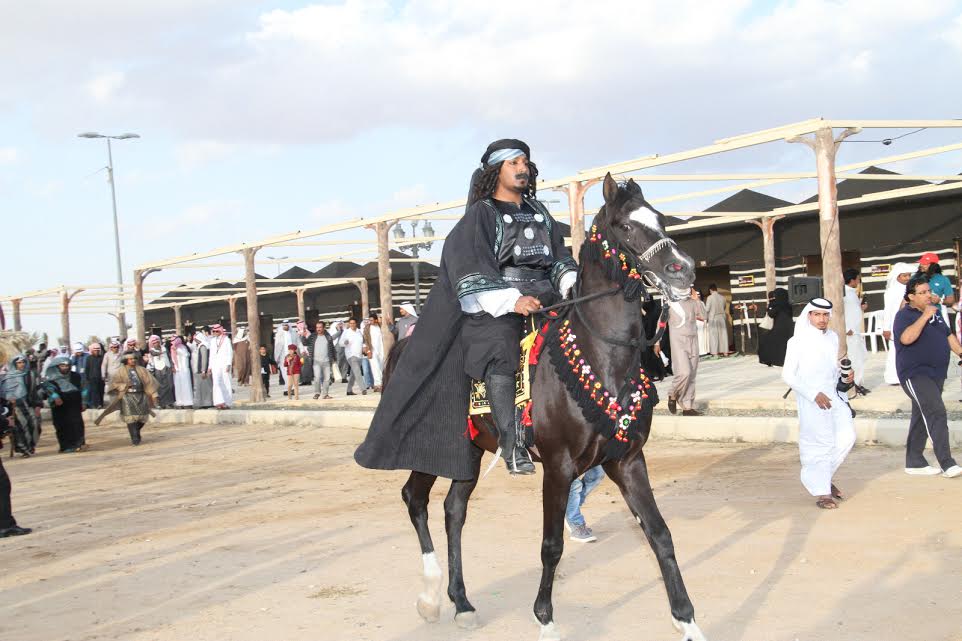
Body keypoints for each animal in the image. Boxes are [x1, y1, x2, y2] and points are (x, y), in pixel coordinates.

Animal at [390, 175, 704, 640]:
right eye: (626, 227)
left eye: (661, 219)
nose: (683, 268)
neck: (600, 355)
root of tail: (404, 344)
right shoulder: (558, 467)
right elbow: (551, 546)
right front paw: (546, 620)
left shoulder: (627, 460)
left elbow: (659, 534)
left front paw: (687, 621)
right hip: (433, 448)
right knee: (415, 498)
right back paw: (430, 598)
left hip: (472, 451)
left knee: (453, 511)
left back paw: (461, 602)